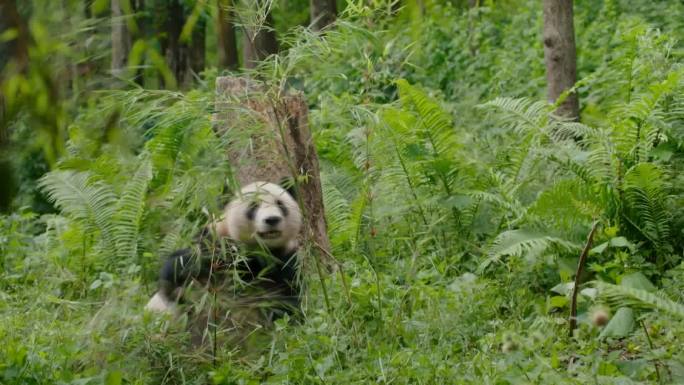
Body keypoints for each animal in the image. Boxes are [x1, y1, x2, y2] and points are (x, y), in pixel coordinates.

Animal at [145, 181, 302, 320]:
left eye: (280, 204)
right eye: (253, 206)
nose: (272, 219)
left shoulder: (287, 259)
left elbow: (290, 299)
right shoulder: (213, 242)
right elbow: (184, 263)